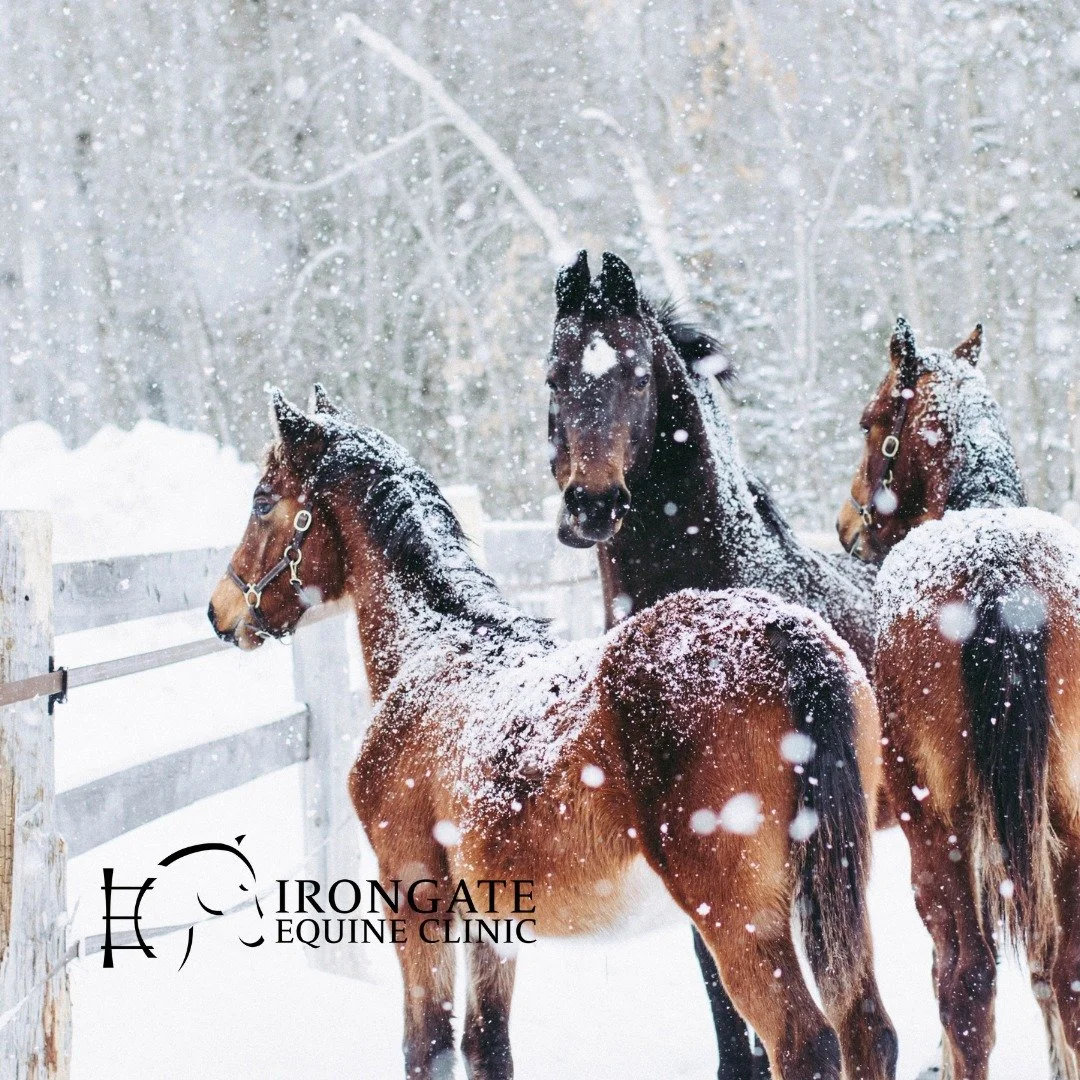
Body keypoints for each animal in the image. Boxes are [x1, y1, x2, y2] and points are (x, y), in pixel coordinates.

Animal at [209, 390, 897, 1080]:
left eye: (263, 500)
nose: (220, 612)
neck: (434, 649)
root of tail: (789, 640)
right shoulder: (492, 922)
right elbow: (487, 1047)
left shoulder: (415, 895)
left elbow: (427, 1047)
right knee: (868, 1031)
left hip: (740, 919)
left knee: (806, 1042)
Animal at [837, 319, 1080, 1080]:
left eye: (870, 422)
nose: (846, 528)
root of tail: (998, 574)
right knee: (1067, 975)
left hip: (935, 823)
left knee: (965, 980)